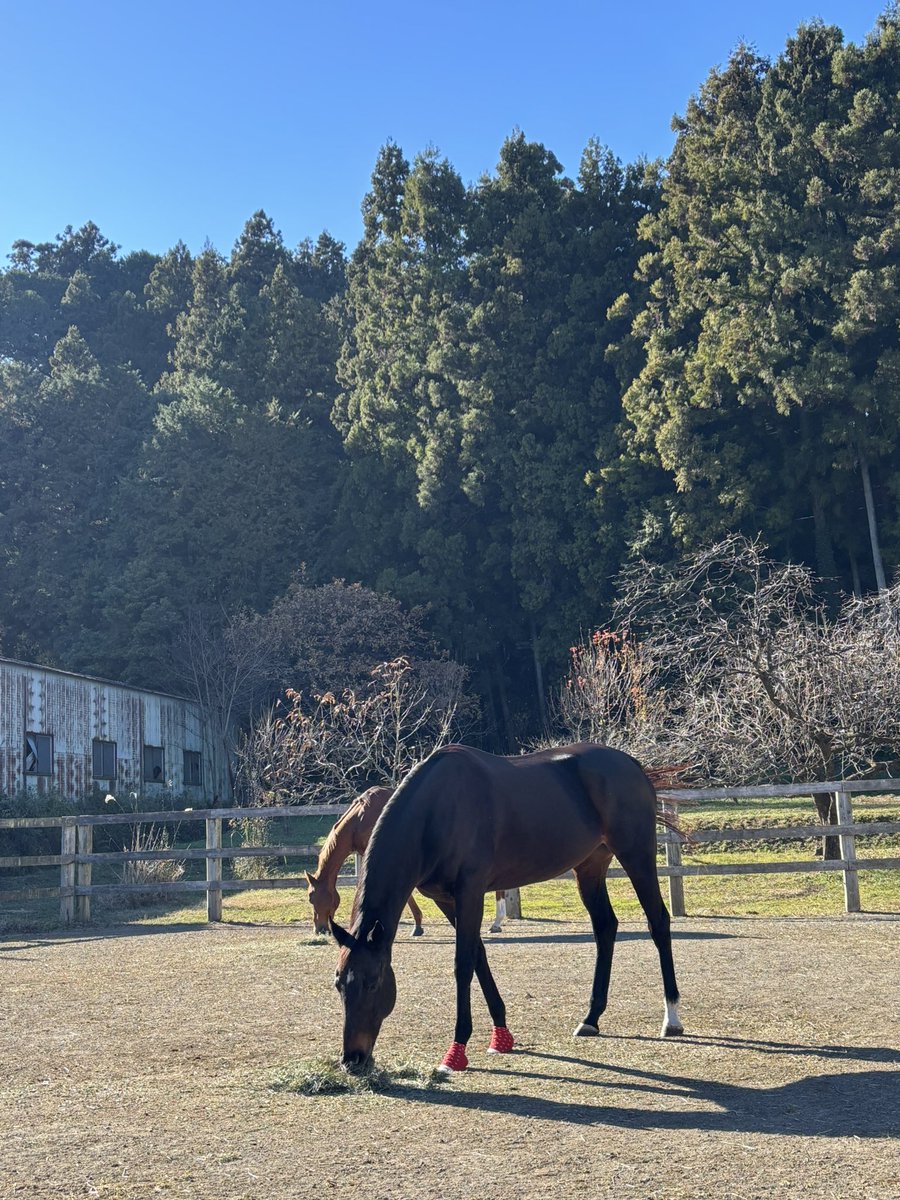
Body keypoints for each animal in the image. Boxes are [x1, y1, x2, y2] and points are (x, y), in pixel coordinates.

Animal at [330, 742, 683, 1074]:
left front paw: (456, 1050)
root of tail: (631, 764)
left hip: (636, 854)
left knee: (658, 922)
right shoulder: (446, 900)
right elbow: (478, 955)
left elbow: (462, 964)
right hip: (590, 867)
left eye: (373, 982)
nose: (353, 1059)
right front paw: (501, 1034)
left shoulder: (470, 892)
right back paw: (591, 1018)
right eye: (338, 984)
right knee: (605, 927)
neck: (436, 810)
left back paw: (672, 1018)